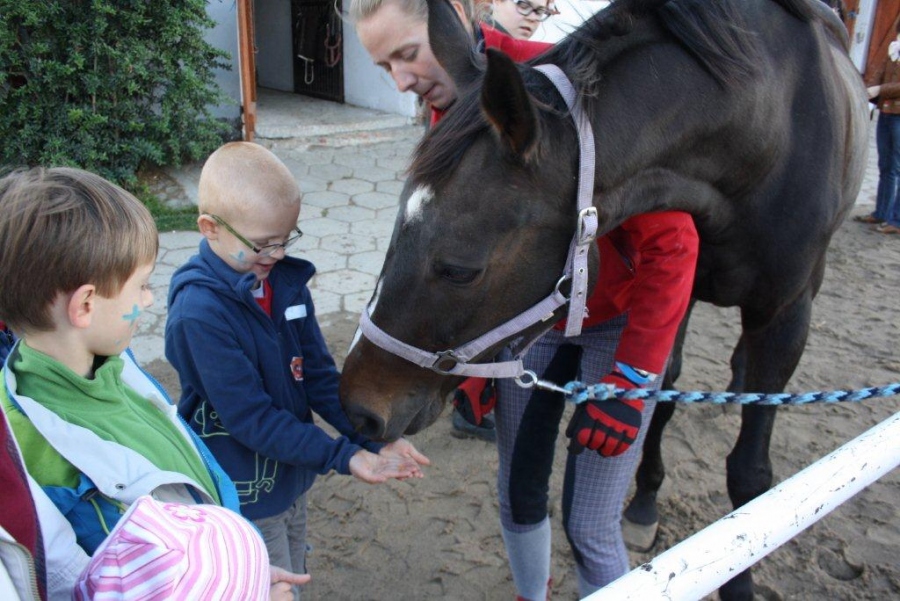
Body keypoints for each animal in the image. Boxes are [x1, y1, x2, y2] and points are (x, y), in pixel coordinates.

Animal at [336, 0, 864, 596]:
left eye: (459, 269)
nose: (357, 409)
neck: (768, 131)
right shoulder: (688, 284)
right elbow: (664, 389)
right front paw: (644, 501)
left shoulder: (787, 311)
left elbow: (753, 480)